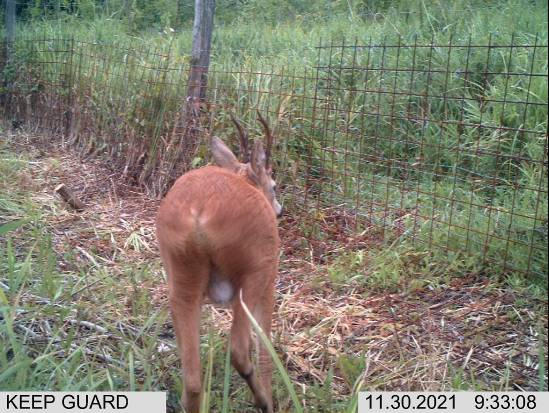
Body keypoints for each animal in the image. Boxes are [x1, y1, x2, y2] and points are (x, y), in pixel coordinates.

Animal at [155, 112, 280, 412]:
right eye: (273, 185)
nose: (279, 210)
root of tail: (199, 212)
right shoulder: (269, 280)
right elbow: (265, 349)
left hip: (181, 276)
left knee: (192, 381)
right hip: (254, 274)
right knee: (240, 350)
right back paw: (264, 403)